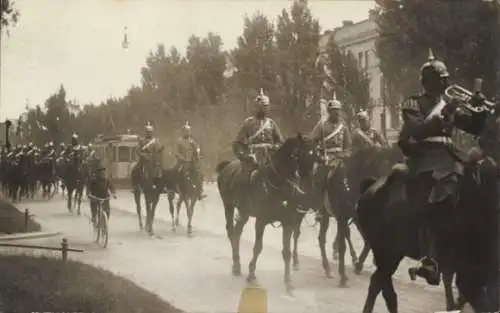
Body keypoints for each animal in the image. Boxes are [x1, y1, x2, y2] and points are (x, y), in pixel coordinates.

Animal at [216, 133, 316, 290]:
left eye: (315, 155)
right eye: (301, 154)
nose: (309, 182)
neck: (277, 184)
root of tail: (226, 166)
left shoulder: (287, 223)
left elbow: (286, 251)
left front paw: (288, 281)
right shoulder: (261, 221)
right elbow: (258, 247)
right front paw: (251, 275)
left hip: (244, 213)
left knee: (237, 232)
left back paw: (237, 264)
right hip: (228, 207)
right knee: (231, 232)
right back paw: (236, 264)